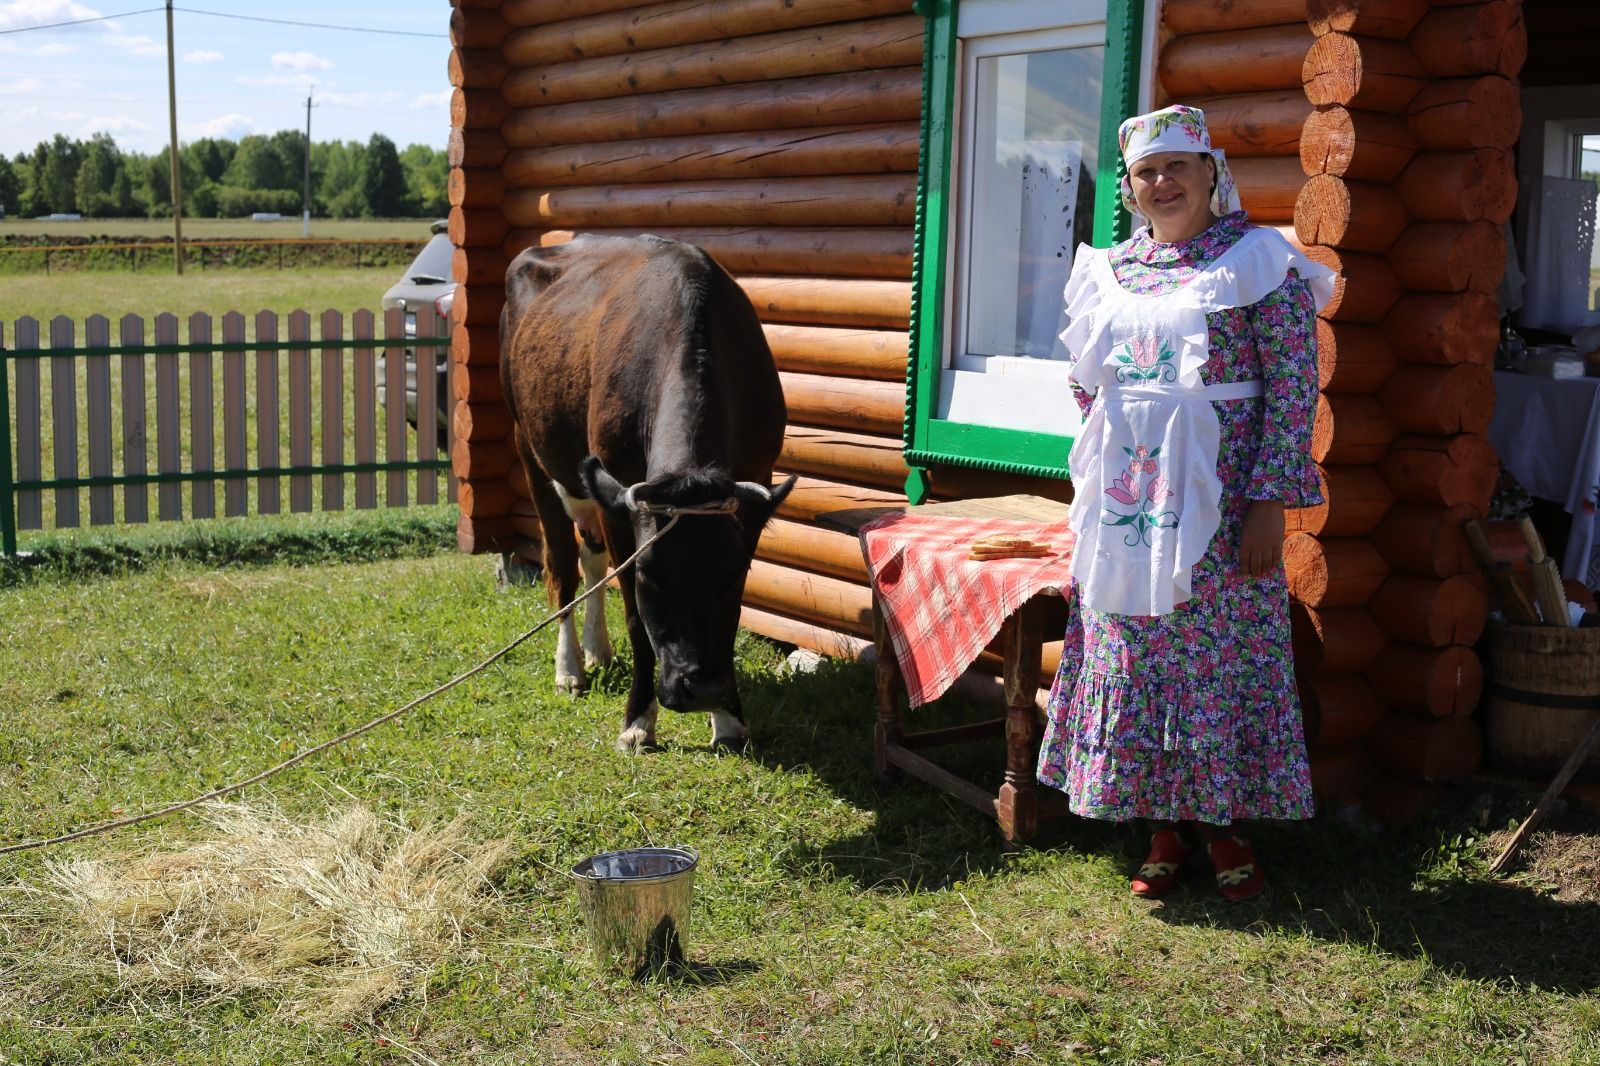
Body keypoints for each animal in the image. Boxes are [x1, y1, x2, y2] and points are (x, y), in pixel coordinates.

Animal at [499, 235, 793, 745]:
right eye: (650, 575)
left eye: (734, 571)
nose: (703, 689)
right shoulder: (620, 503)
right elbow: (636, 617)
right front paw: (637, 721)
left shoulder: (755, 491)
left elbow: (733, 615)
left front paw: (729, 719)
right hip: (530, 446)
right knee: (563, 564)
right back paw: (570, 668)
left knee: (590, 554)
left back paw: (597, 649)